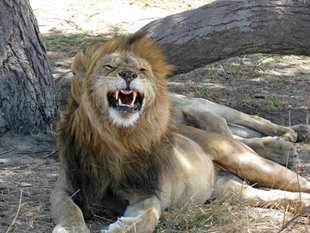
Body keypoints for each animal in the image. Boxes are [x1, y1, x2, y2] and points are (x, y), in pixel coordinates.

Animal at [50, 33, 310, 233]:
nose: (129, 74)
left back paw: (289, 141)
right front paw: (71, 228)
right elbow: (68, 210)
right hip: (230, 190)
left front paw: (120, 227)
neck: (116, 138)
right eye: (109, 67)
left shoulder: (148, 193)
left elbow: (146, 218)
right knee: (273, 195)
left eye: (141, 69)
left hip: (246, 159)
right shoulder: (66, 186)